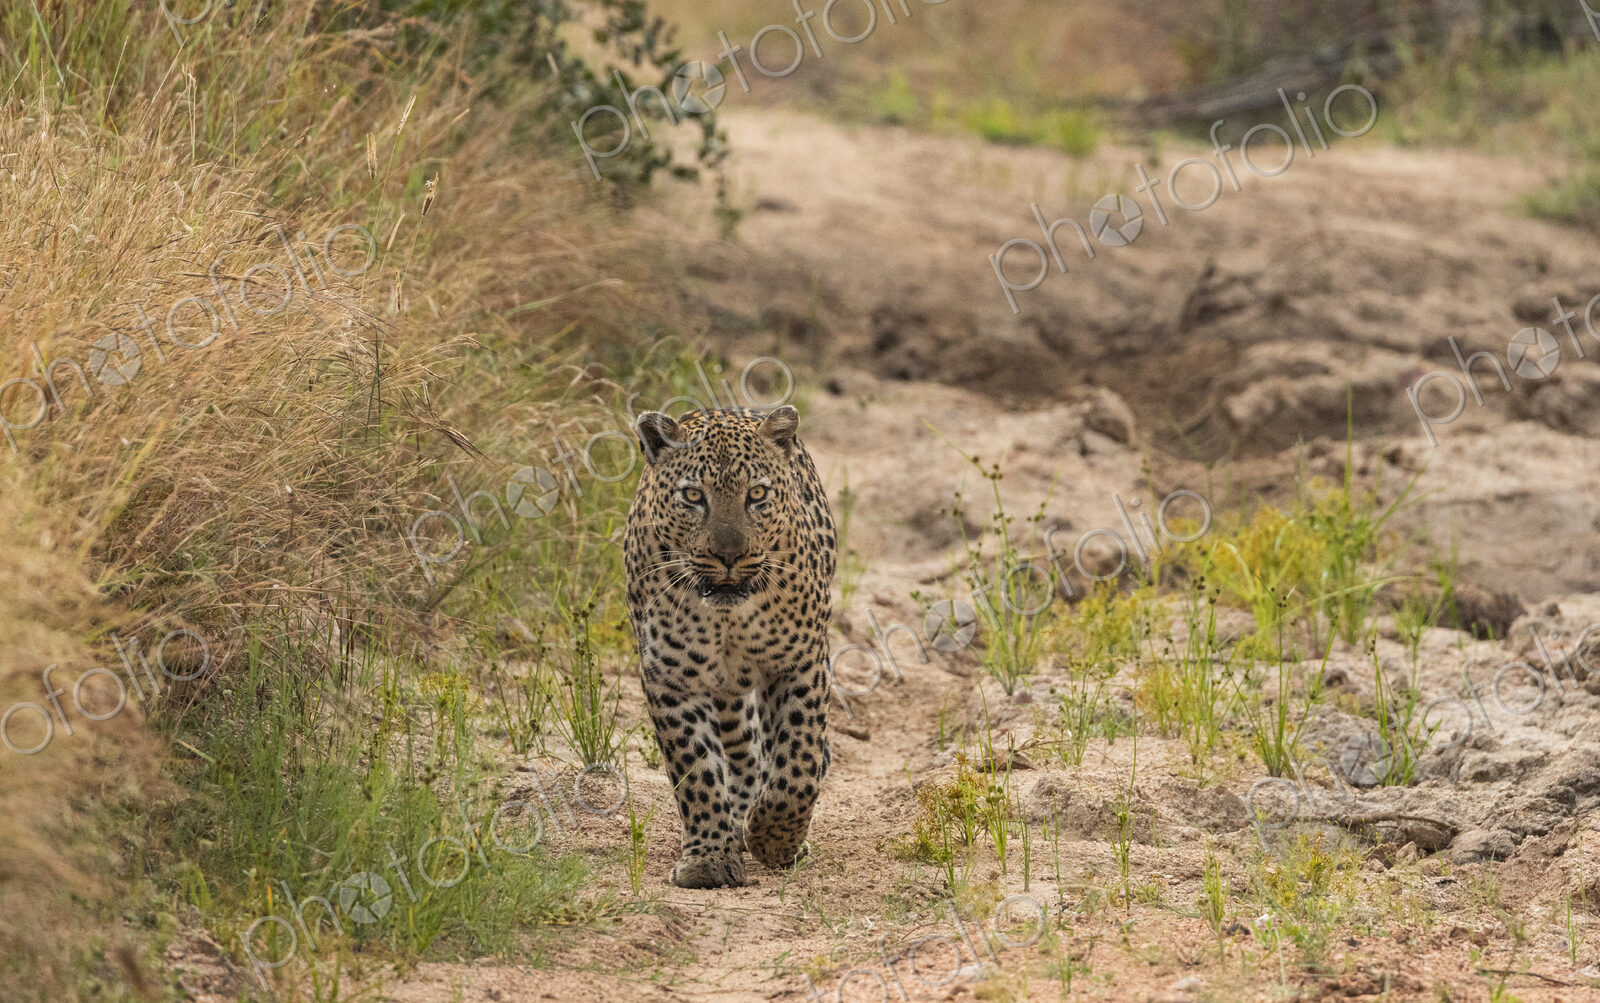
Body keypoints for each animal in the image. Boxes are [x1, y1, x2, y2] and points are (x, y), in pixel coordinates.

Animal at [623, 405, 836, 889]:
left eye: (757, 494)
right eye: (693, 496)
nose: (728, 556)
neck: (729, 618)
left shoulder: (799, 664)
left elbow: (798, 760)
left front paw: (774, 839)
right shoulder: (671, 680)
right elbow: (696, 771)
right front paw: (709, 860)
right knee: (744, 750)